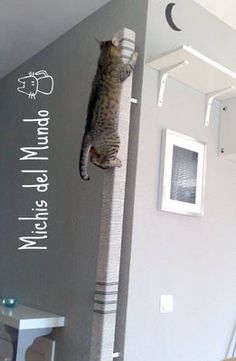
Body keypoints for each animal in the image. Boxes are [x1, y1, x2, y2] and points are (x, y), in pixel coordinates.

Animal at [79, 34, 138, 180]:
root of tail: (87, 133)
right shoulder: (125, 70)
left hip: (95, 149)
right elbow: (131, 62)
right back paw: (117, 162)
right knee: (105, 161)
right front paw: (135, 53)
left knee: (95, 159)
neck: (104, 61)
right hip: (115, 141)